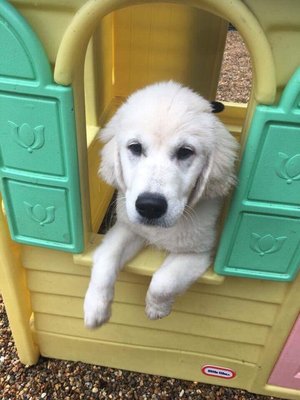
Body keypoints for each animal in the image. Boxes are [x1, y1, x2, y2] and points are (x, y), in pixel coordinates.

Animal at [83, 82, 238, 328]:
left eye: (185, 151)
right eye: (135, 147)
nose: (150, 206)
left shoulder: (200, 252)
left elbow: (163, 281)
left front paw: (156, 309)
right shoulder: (129, 227)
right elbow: (106, 258)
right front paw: (95, 308)